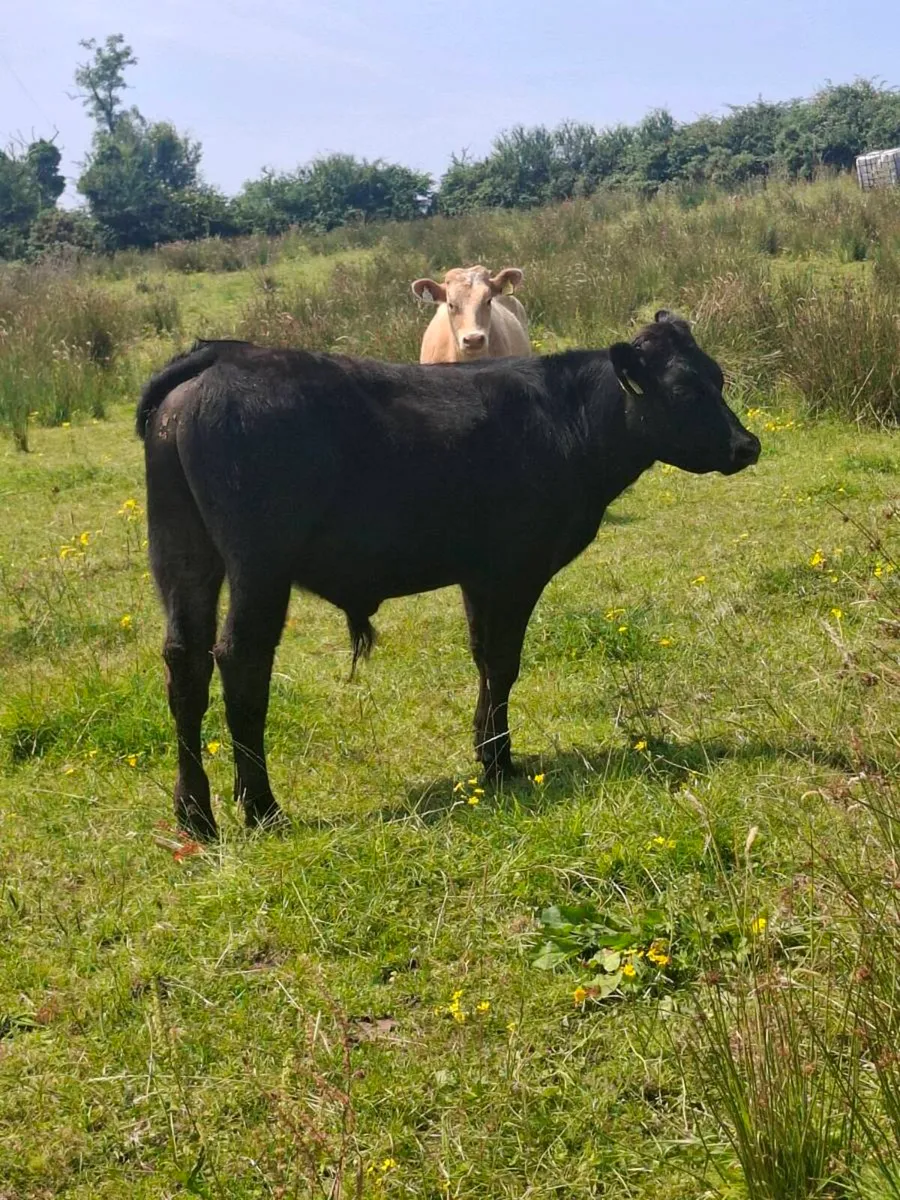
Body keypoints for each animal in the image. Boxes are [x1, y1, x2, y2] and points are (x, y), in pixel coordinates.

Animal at [138, 312, 760, 840]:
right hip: (260, 563)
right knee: (240, 660)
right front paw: (500, 761)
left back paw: (195, 814)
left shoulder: (478, 574)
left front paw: (488, 752)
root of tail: (223, 355)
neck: (567, 419)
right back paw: (262, 807)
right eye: (685, 390)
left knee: (185, 662)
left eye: (718, 377)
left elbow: (483, 658)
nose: (746, 445)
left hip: (180, 549)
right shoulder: (516, 567)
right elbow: (503, 662)